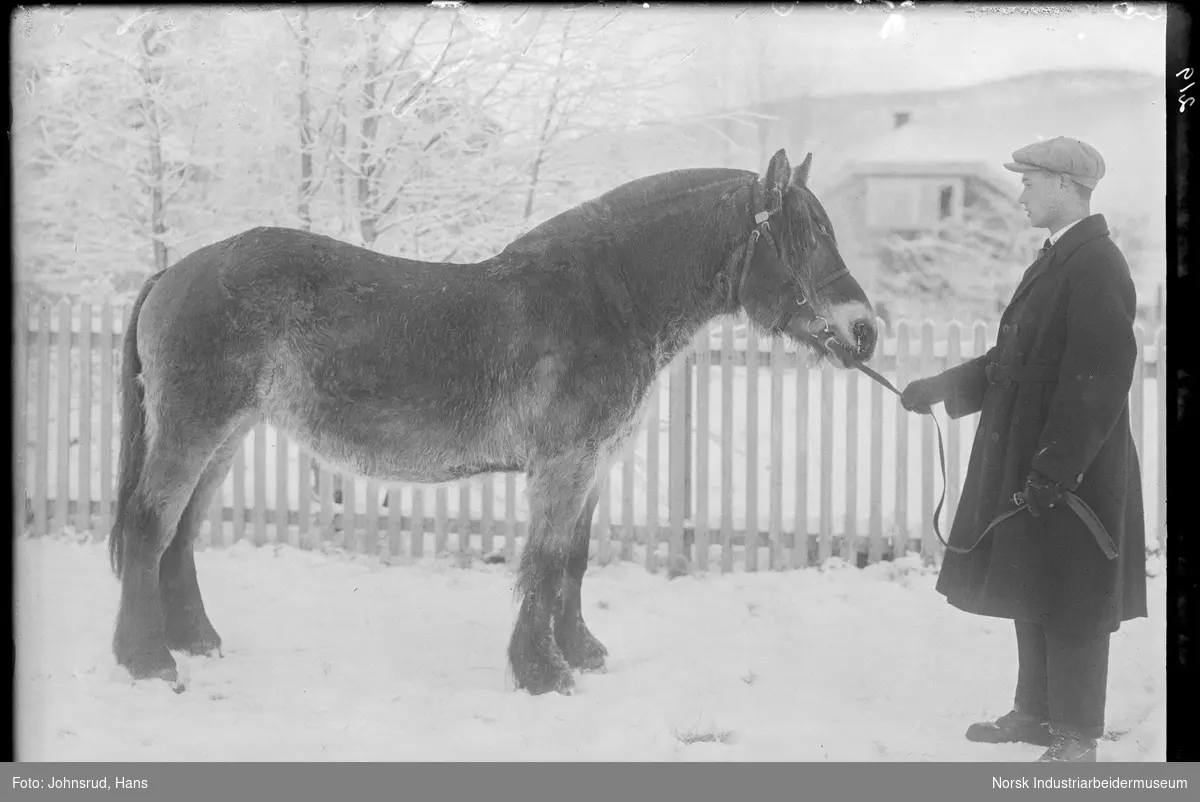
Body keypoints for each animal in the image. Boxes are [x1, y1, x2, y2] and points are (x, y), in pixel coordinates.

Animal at [110, 148, 883, 696]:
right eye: (804, 237)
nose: (865, 330)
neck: (609, 299)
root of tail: (176, 272)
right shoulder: (564, 467)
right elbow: (542, 564)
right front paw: (543, 674)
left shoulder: (592, 468)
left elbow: (572, 561)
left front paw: (581, 654)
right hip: (193, 430)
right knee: (150, 527)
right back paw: (148, 662)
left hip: (227, 436)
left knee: (180, 534)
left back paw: (195, 641)